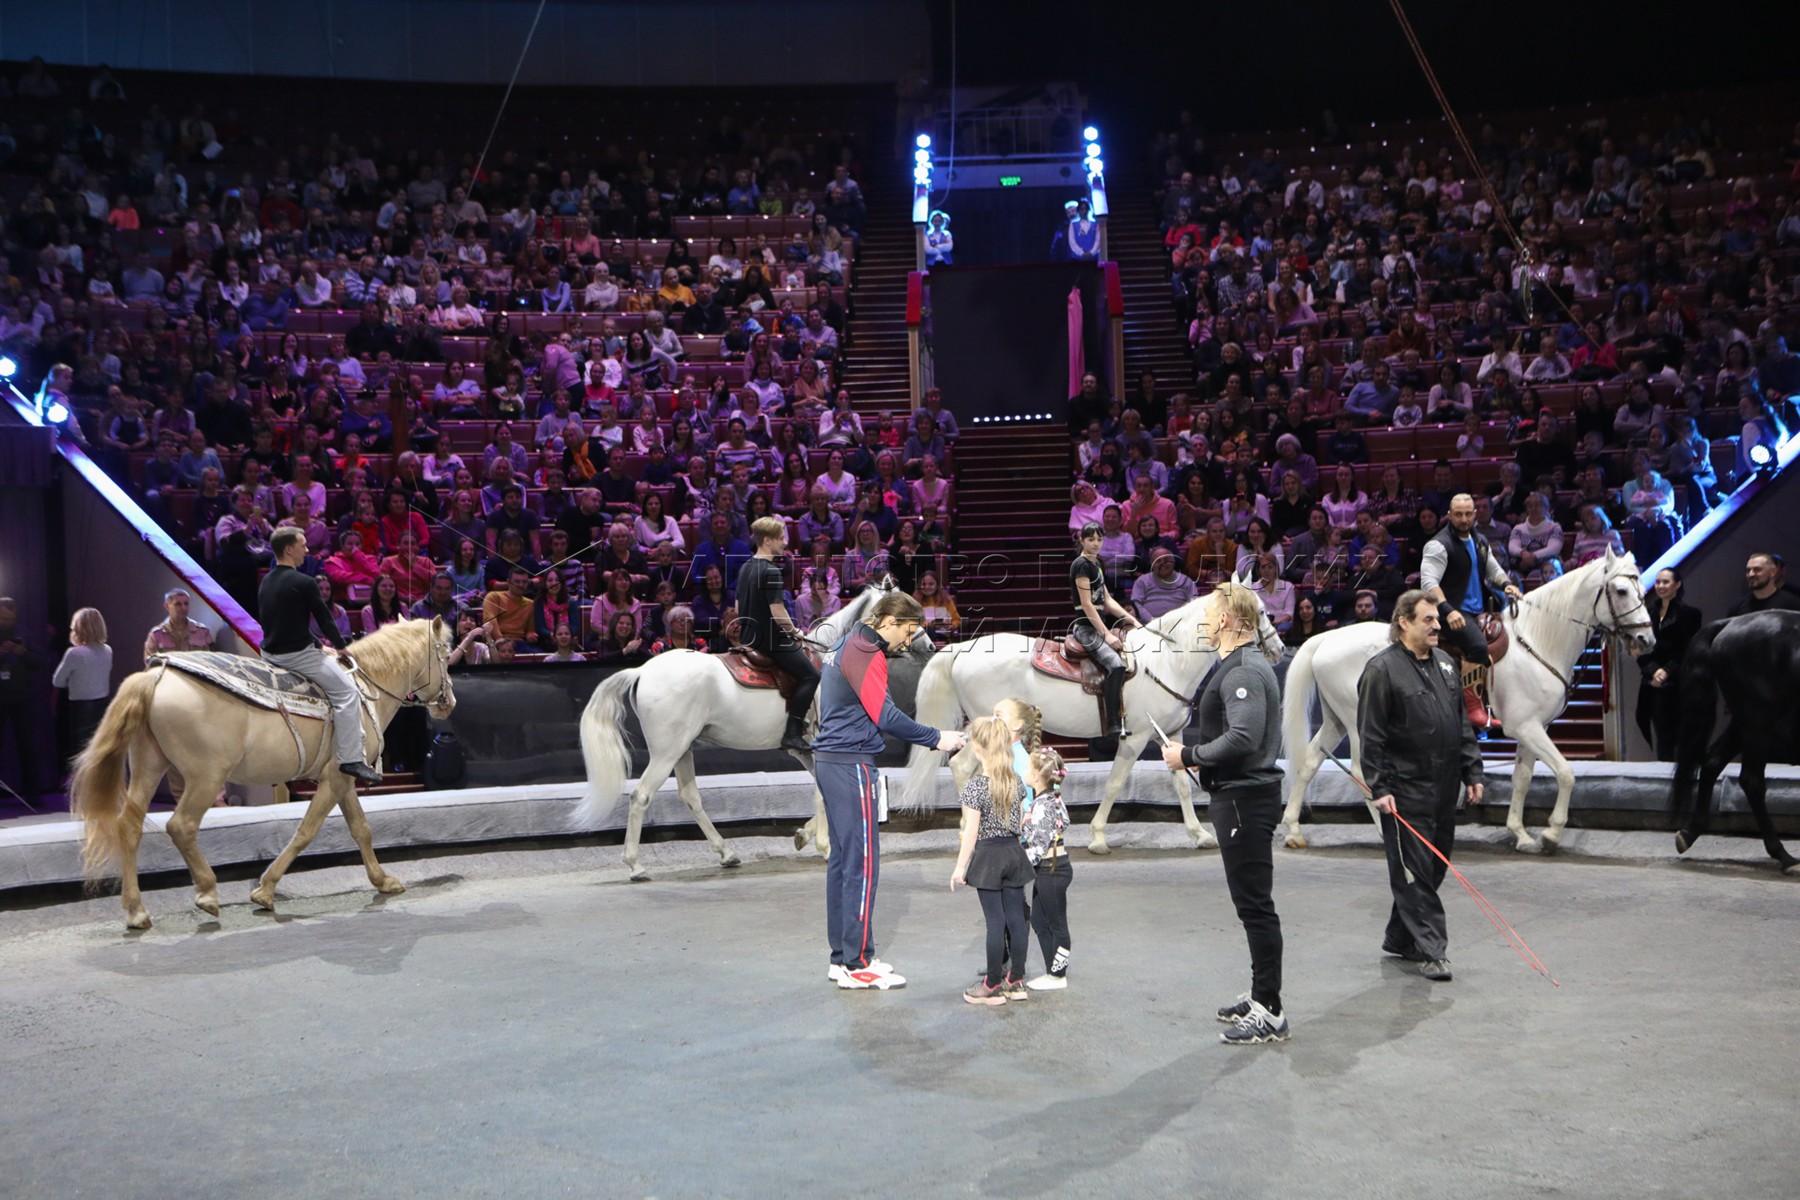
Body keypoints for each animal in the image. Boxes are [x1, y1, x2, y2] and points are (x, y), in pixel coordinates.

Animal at [71, 618, 456, 930]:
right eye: (445, 651)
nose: (448, 702)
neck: (366, 689)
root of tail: (157, 674)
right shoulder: (334, 780)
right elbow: (307, 831)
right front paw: (265, 889)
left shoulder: (342, 779)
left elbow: (361, 829)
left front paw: (383, 880)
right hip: (206, 778)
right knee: (181, 826)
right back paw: (206, 893)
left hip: (149, 767)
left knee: (129, 827)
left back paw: (136, 911)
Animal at [571, 577, 933, 881]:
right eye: (906, 609)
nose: (929, 646)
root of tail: (642, 671)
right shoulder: (822, 744)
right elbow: (822, 793)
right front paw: (825, 845)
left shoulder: (804, 750)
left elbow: (820, 789)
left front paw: (804, 835)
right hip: (667, 751)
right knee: (641, 796)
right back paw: (635, 865)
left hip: (681, 748)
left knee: (690, 797)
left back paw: (726, 853)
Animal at [899, 589, 1285, 853]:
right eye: (1261, 610)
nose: (1279, 649)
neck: (1167, 661)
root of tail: (962, 650)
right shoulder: (1135, 738)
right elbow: (1114, 784)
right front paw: (1098, 837)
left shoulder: (1171, 735)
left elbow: (1182, 786)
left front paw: (1200, 833)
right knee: (964, 766)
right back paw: (971, 827)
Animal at [1279, 549, 1654, 853]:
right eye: (1621, 590)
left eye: (1642, 589)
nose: (1646, 639)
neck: (1536, 639)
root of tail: (1327, 638)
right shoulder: (1526, 727)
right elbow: (1565, 773)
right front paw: (1551, 833)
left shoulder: (1534, 729)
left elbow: (1522, 779)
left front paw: (1521, 835)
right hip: (1360, 722)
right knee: (1360, 770)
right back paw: (1389, 831)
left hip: (1336, 719)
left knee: (1309, 762)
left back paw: (1294, 829)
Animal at [1671, 610, 1800, 875]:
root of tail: (1730, 623)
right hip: (1756, 721)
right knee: (1752, 780)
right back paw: (1783, 855)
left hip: (1745, 723)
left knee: (1712, 763)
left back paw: (1689, 833)